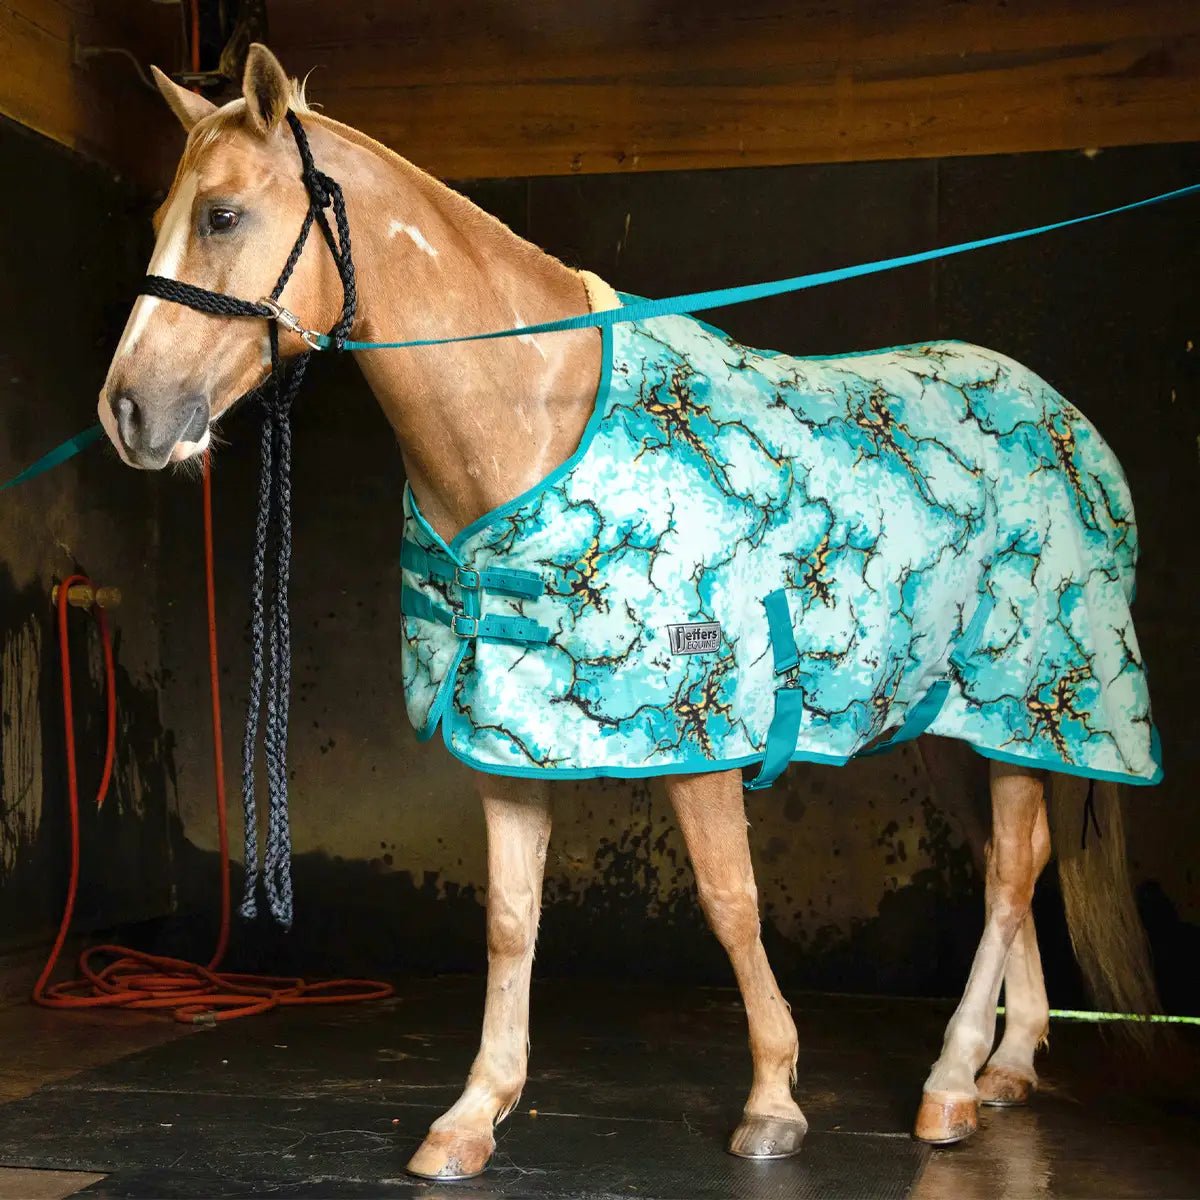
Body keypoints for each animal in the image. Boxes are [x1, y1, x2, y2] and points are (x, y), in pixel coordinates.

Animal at [97, 43, 1161, 1180]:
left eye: (220, 216)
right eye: (160, 213)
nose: (127, 413)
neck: (534, 415)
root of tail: (1069, 421)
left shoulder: (702, 729)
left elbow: (731, 904)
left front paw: (775, 1100)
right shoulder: (506, 733)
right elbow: (511, 921)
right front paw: (473, 1115)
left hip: (1027, 700)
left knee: (1008, 876)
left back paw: (953, 1084)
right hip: (954, 726)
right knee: (1026, 865)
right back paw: (1008, 1065)